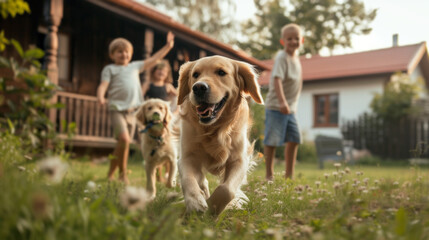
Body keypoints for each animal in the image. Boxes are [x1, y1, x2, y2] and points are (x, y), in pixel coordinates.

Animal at [176, 55, 262, 215]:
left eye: (221, 72)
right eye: (195, 74)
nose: (198, 87)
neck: (213, 129)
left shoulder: (239, 160)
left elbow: (226, 189)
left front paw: (212, 207)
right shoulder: (187, 156)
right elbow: (188, 179)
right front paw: (195, 202)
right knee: (202, 181)